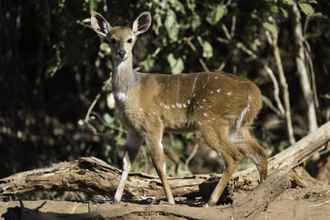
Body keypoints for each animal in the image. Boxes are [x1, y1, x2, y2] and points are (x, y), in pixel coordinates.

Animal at [90, 10, 268, 206]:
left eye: (130, 39)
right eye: (112, 39)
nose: (121, 53)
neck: (129, 92)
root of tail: (255, 94)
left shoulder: (153, 124)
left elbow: (159, 163)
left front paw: (170, 201)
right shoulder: (133, 130)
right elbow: (126, 162)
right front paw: (115, 199)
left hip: (211, 121)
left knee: (233, 156)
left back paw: (211, 201)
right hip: (239, 127)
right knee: (260, 154)